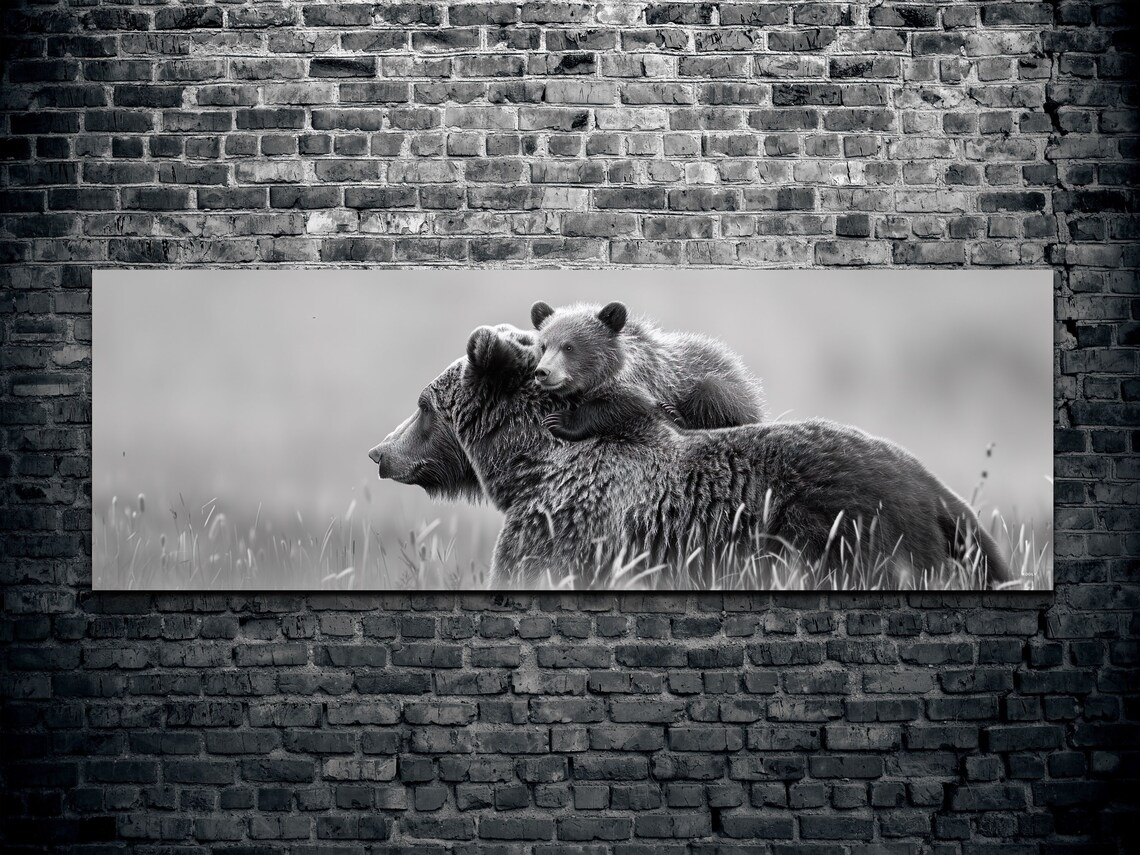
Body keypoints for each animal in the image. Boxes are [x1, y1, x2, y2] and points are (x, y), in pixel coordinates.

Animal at [373, 325, 1013, 591]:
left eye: (424, 406)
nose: (380, 452)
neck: (530, 466)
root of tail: (938, 492)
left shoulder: (565, 523)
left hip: (858, 537)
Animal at [530, 300, 766, 442]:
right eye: (544, 345)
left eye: (569, 347)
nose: (543, 372)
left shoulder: (643, 382)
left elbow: (619, 405)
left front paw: (559, 421)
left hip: (722, 384)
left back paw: (674, 414)